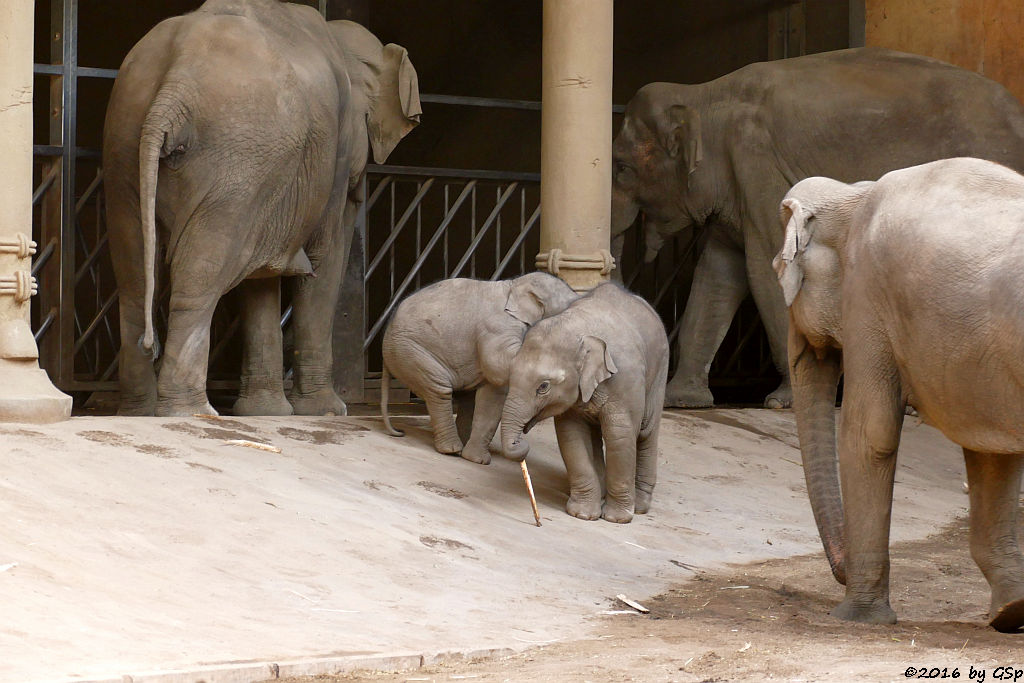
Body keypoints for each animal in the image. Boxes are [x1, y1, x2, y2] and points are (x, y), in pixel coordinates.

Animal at [102, 0, 419, 417]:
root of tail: (173, 88)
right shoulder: (331, 159)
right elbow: (326, 256)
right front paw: (326, 411)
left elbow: (260, 278)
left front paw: (266, 413)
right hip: (235, 158)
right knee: (201, 271)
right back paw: (193, 413)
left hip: (125, 143)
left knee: (135, 275)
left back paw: (138, 411)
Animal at [382, 272, 581, 464]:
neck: (514, 285)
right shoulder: (498, 327)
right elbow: (497, 366)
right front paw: (479, 460)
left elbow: (492, 395)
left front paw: (476, 459)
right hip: (409, 351)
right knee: (439, 390)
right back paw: (452, 450)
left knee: (468, 399)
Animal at [497, 282, 671, 524]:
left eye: (543, 386)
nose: (520, 445)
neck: (578, 327)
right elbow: (572, 436)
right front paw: (583, 514)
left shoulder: (626, 379)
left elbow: (620, 435)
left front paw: (616, 519)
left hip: (659, 373)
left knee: (647, 432)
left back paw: (640, 507)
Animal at [606, 49, 1024, 411]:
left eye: (622, 168)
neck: (703, 94)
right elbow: (717, 276)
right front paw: (683, 400)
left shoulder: (757, 167)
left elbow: (768, 268)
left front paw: (782, 402)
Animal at [774, 157, 1024, 634]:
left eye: (779, 270)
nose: (840, 572)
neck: (854, 194)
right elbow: (990, 453)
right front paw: (1011, 612)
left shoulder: (868, 297)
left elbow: (868, 433)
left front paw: (857, 618)